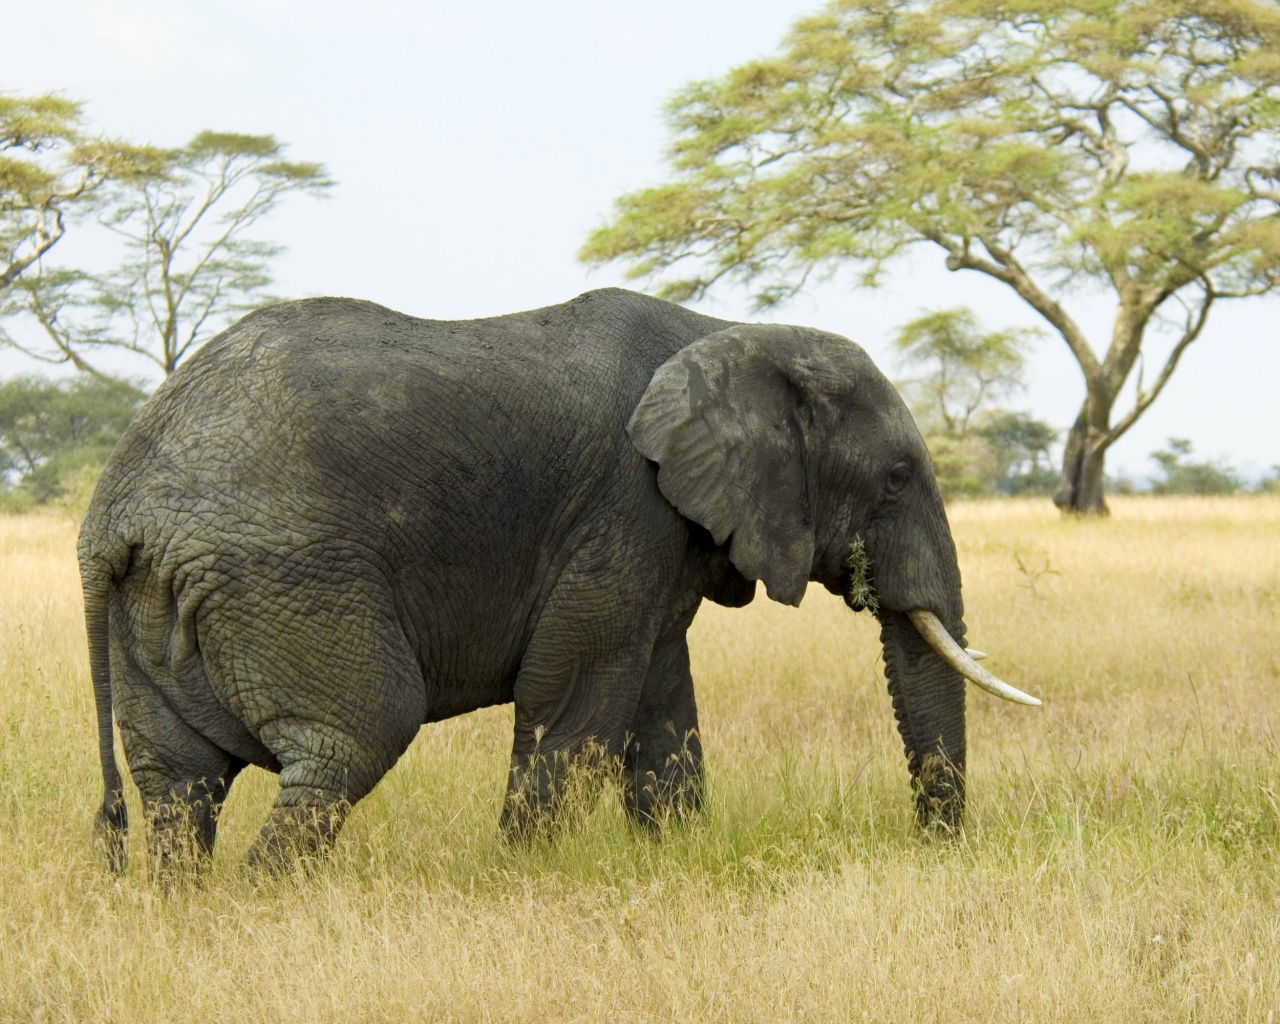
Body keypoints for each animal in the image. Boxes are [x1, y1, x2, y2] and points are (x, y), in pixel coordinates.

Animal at [79, 287, 1037, 873]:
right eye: (897, 478)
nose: (934, 848)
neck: (729, 332)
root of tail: (113, 511)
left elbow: (659, 699)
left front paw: (672, 861)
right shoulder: (624, 506)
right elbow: (574, 695)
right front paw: (524, 875)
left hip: (161, 602)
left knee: (180, 783)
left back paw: (190, 909)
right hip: (285, 575)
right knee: (353, 737)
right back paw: (266, 902)